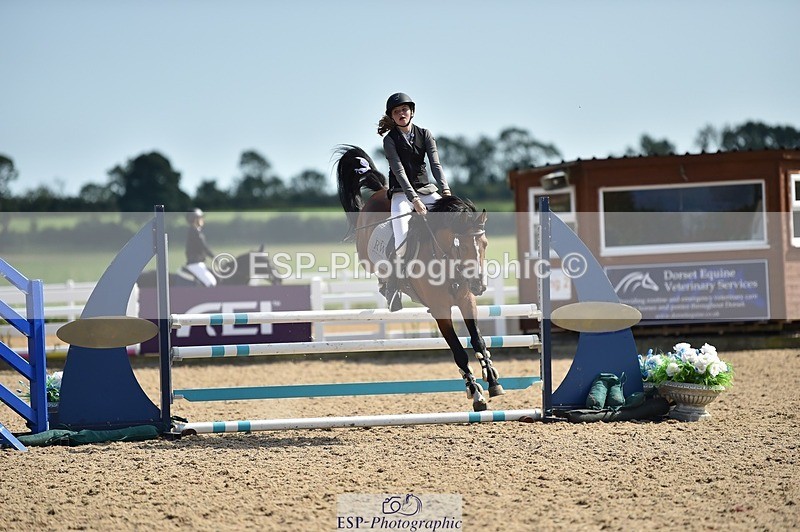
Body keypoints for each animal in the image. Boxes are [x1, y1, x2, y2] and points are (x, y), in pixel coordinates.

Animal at [335, 145, 504, 411]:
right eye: (462, 245)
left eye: (484, 244)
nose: (479, 285)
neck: (447, 263)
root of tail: (381, 190)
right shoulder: (440, 309)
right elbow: (458, 351)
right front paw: (475, 394)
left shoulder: (467, 301)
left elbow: (478, 341)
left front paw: (494, 382)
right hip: (365, 254)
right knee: (378, 270)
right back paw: (389, 290)